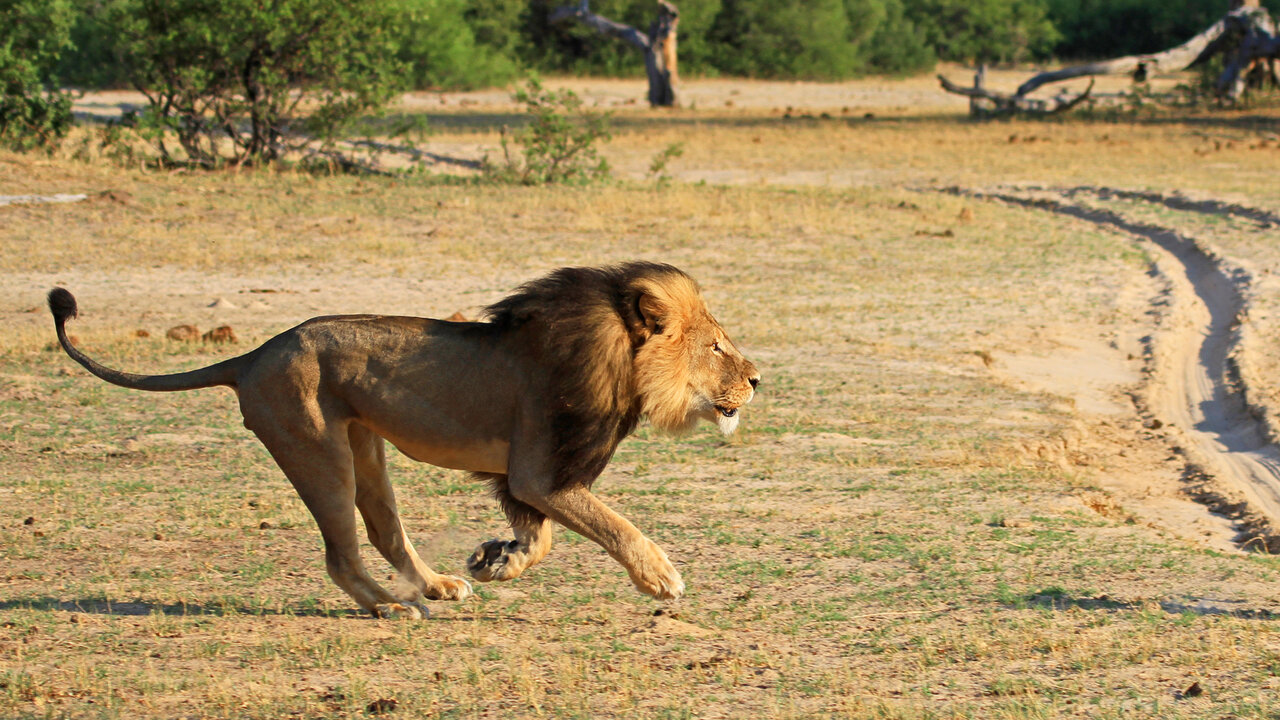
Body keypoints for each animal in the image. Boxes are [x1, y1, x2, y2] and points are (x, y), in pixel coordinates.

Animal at [47, 263, 757, 617]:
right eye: (716, 346)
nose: (757, 378)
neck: (616, 358)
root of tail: (252, 355)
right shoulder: (539, 472)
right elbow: (613, 523)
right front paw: (661, 577)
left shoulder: (529, 478)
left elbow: (545, 538)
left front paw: (495, 560)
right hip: (319, 452)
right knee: (342, 555)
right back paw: (391, 609)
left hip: (365, 449)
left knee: (386, 531)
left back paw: (439, 586)